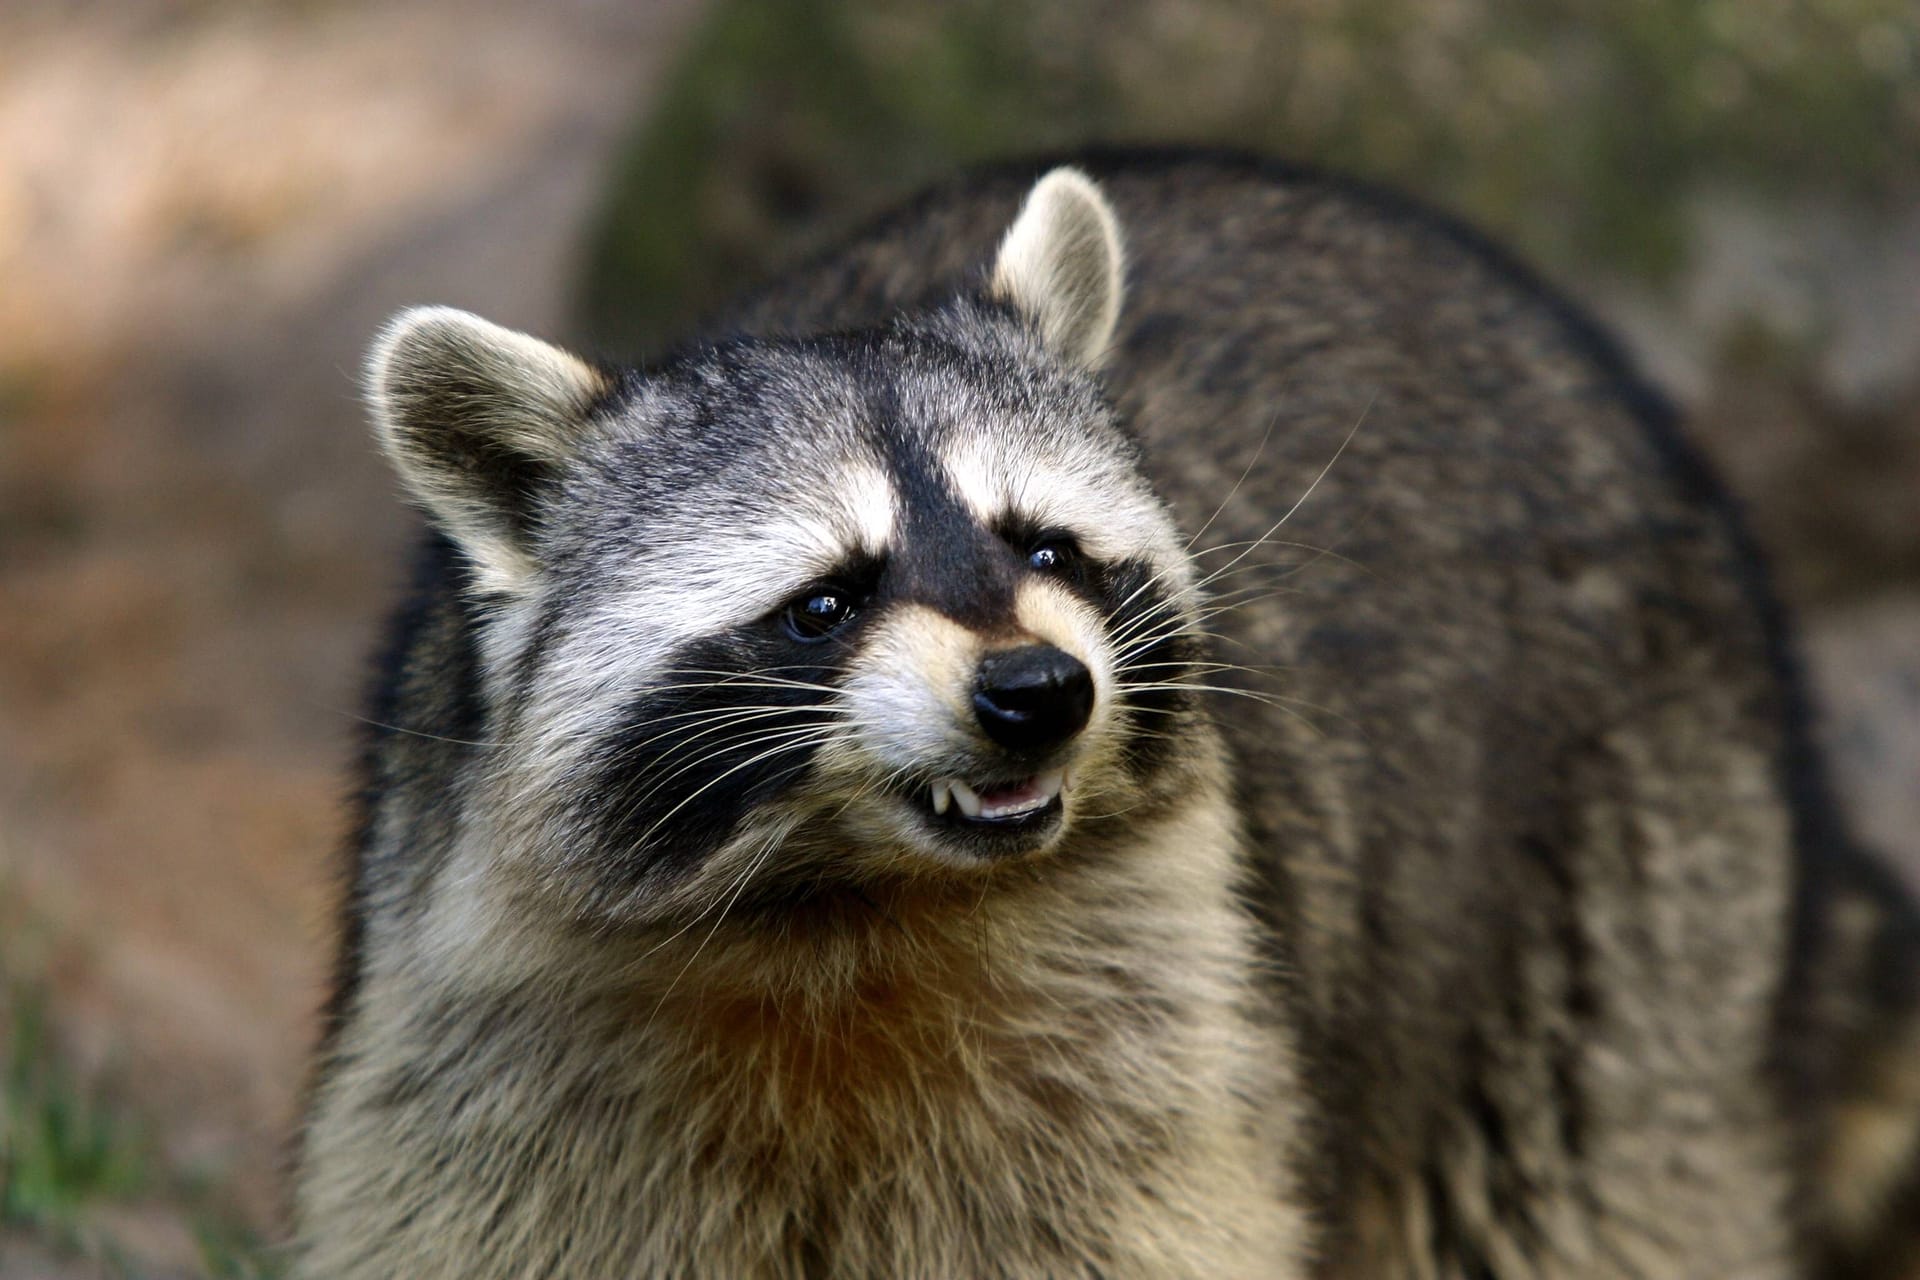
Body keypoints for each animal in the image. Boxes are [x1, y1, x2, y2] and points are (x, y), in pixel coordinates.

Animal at [295, 152, 1920, 1280]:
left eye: (1048, 550)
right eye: (826, 601)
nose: (1039, 694)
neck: (843, 906)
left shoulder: (1166, 1010)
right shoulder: (495, 1027)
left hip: (1629, 889)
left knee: (1586, 1193)